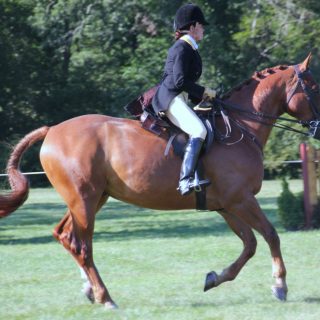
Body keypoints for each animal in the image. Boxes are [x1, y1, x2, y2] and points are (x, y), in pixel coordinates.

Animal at [0, 55, 320, 308]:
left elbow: (250, 243)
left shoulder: (227, 205)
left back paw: (89, 289)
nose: (318, 127)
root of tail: (52, 130)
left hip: (91, 198)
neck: (241, 128)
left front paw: (214, 278)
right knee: (81, 245)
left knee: (67, 235)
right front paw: (280, 286)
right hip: (83, 199)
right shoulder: (241, 200)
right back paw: (106, 298)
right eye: (314, 87)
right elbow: (270, 235)